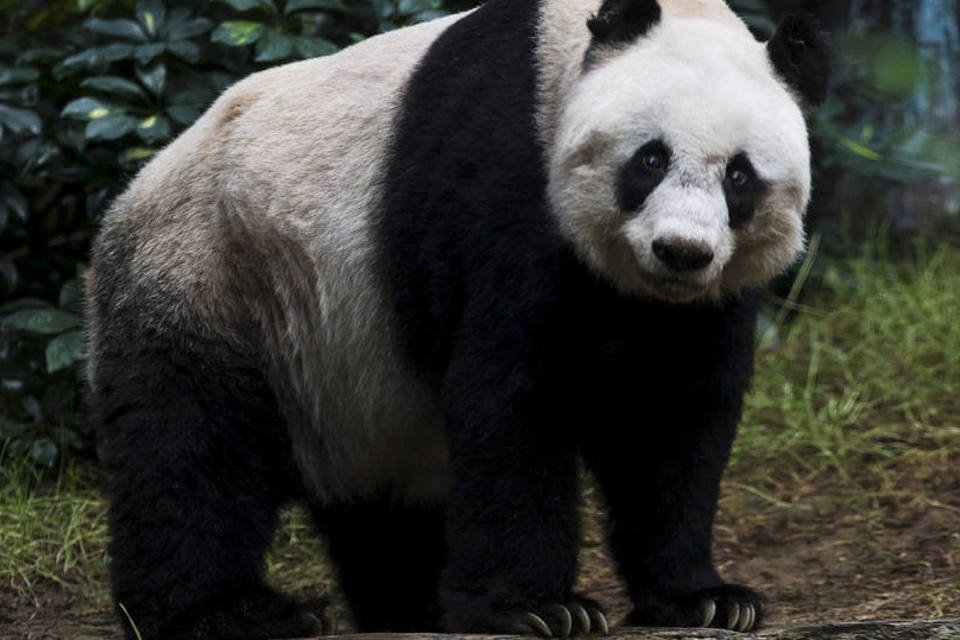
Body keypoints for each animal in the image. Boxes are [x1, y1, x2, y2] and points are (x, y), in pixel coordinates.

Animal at [86, 0, 828, 636]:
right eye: (651, 158)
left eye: (739, 177)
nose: (681, 251)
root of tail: (128, 195)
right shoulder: (504, 181)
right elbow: (514, 396)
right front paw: (540, 610)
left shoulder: (699, 304)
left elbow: (668, 416)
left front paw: (707, 599)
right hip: (217, 275)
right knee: (191, 448)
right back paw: (230, 614)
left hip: (347, 378)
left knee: (385, 509)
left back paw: (411, 605)